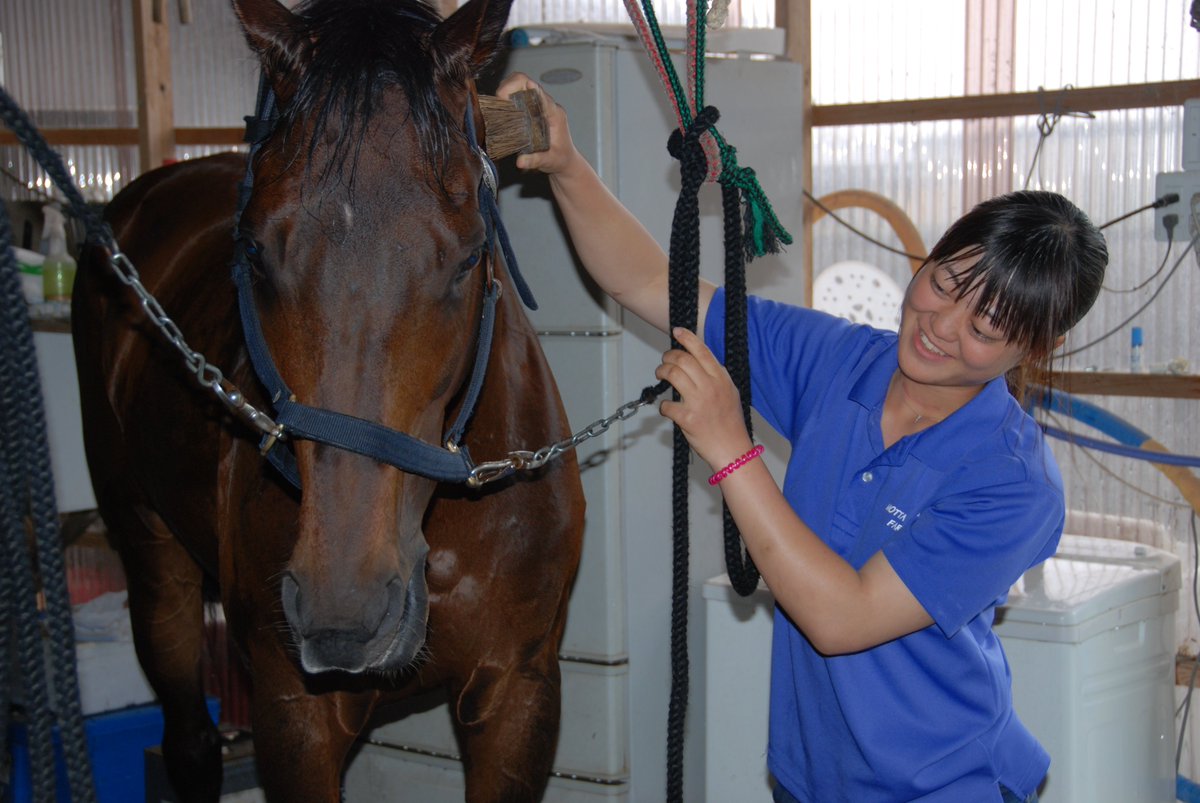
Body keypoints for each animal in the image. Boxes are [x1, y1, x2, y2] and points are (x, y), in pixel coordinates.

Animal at [70, 0, 585, 796]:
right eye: (253, 251)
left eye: (472, 254)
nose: (346, 611)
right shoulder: (296, 717)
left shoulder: (517, 694)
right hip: (154, 565)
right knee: (188, 739)